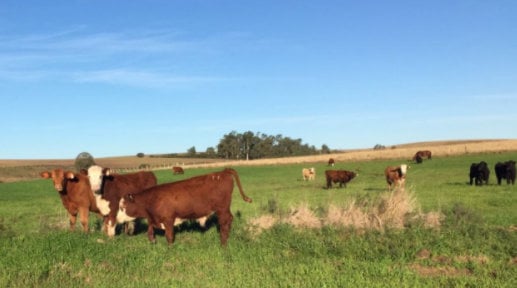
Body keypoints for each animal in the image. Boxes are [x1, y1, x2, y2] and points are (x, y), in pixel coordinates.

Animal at [117, 168, 254, 246]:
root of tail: (222, 172)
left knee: (225, 223)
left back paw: (223, 243)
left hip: (222, 209)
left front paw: (170, 249)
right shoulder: (154, 219)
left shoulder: (168, 219)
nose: (117, 220)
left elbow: (169, 236)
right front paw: (152, 240)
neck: (152, 199)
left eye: (122, 206)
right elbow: (150, 229)